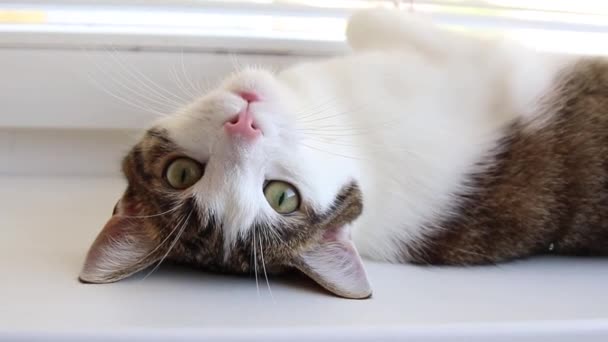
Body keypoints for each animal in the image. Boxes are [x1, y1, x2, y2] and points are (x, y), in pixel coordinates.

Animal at [79, 8, 608, 300]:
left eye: (281, 197)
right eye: (184, 173)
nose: (244, 124)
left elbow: (358, 19)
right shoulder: (475, 66)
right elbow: (371, 19)